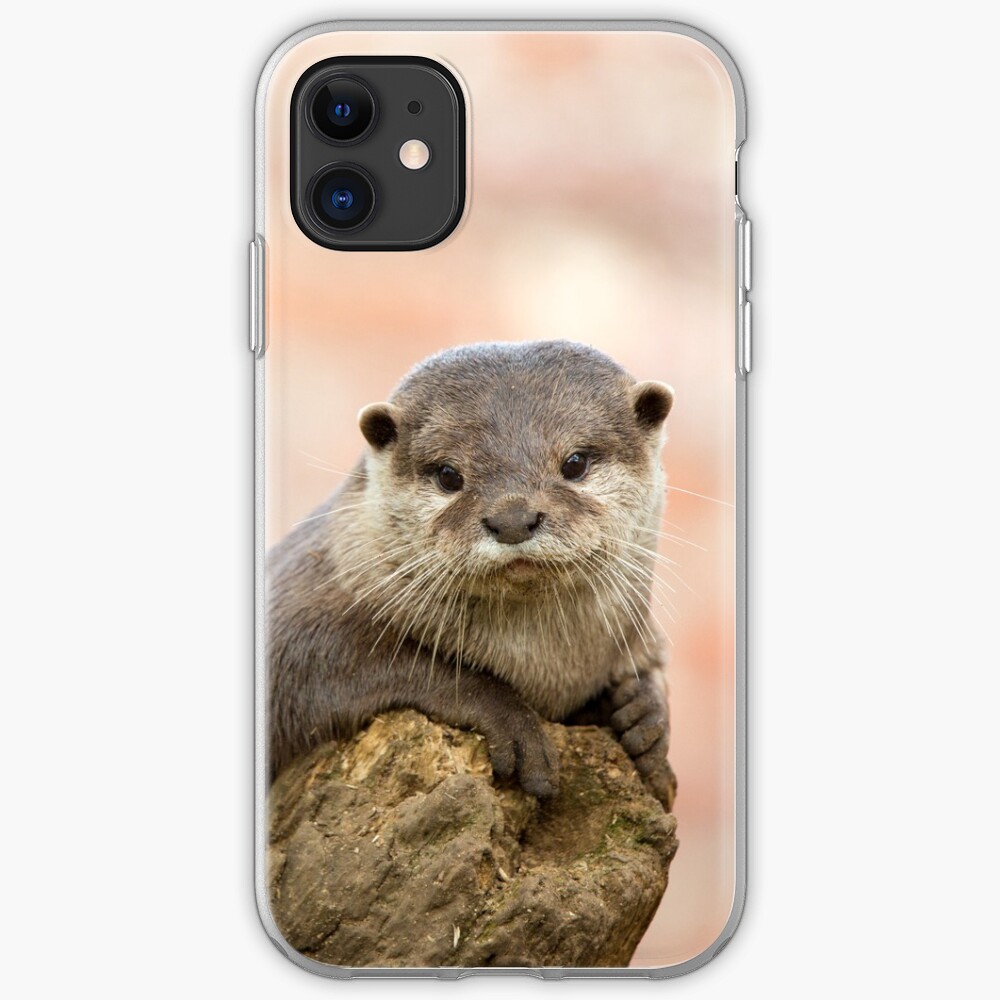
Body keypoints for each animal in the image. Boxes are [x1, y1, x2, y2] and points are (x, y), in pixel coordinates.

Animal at [267, 340, 677, 809]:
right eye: (449, 474)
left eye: (575, 462)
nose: (513, 518)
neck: (548, 670)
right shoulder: (294, 621)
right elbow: (374, 663)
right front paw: (512, 722)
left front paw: (647, 714)